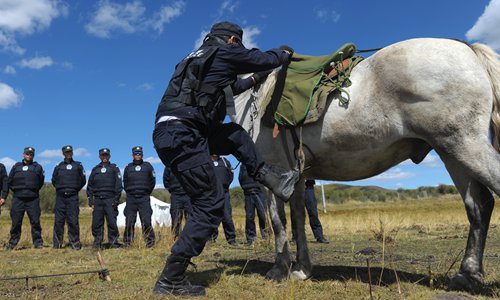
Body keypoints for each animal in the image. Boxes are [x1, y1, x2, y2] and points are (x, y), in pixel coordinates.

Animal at [232, 37, 500, 290]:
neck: (254, 100)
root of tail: (466, 48)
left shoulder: (273, 175)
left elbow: (278, 221)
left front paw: (279, 269)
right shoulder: (295, 179)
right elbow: (298, 220)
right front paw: (301, 269)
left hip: (462, 144)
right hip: (451, 153)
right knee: (479, 205)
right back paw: (467, 275)